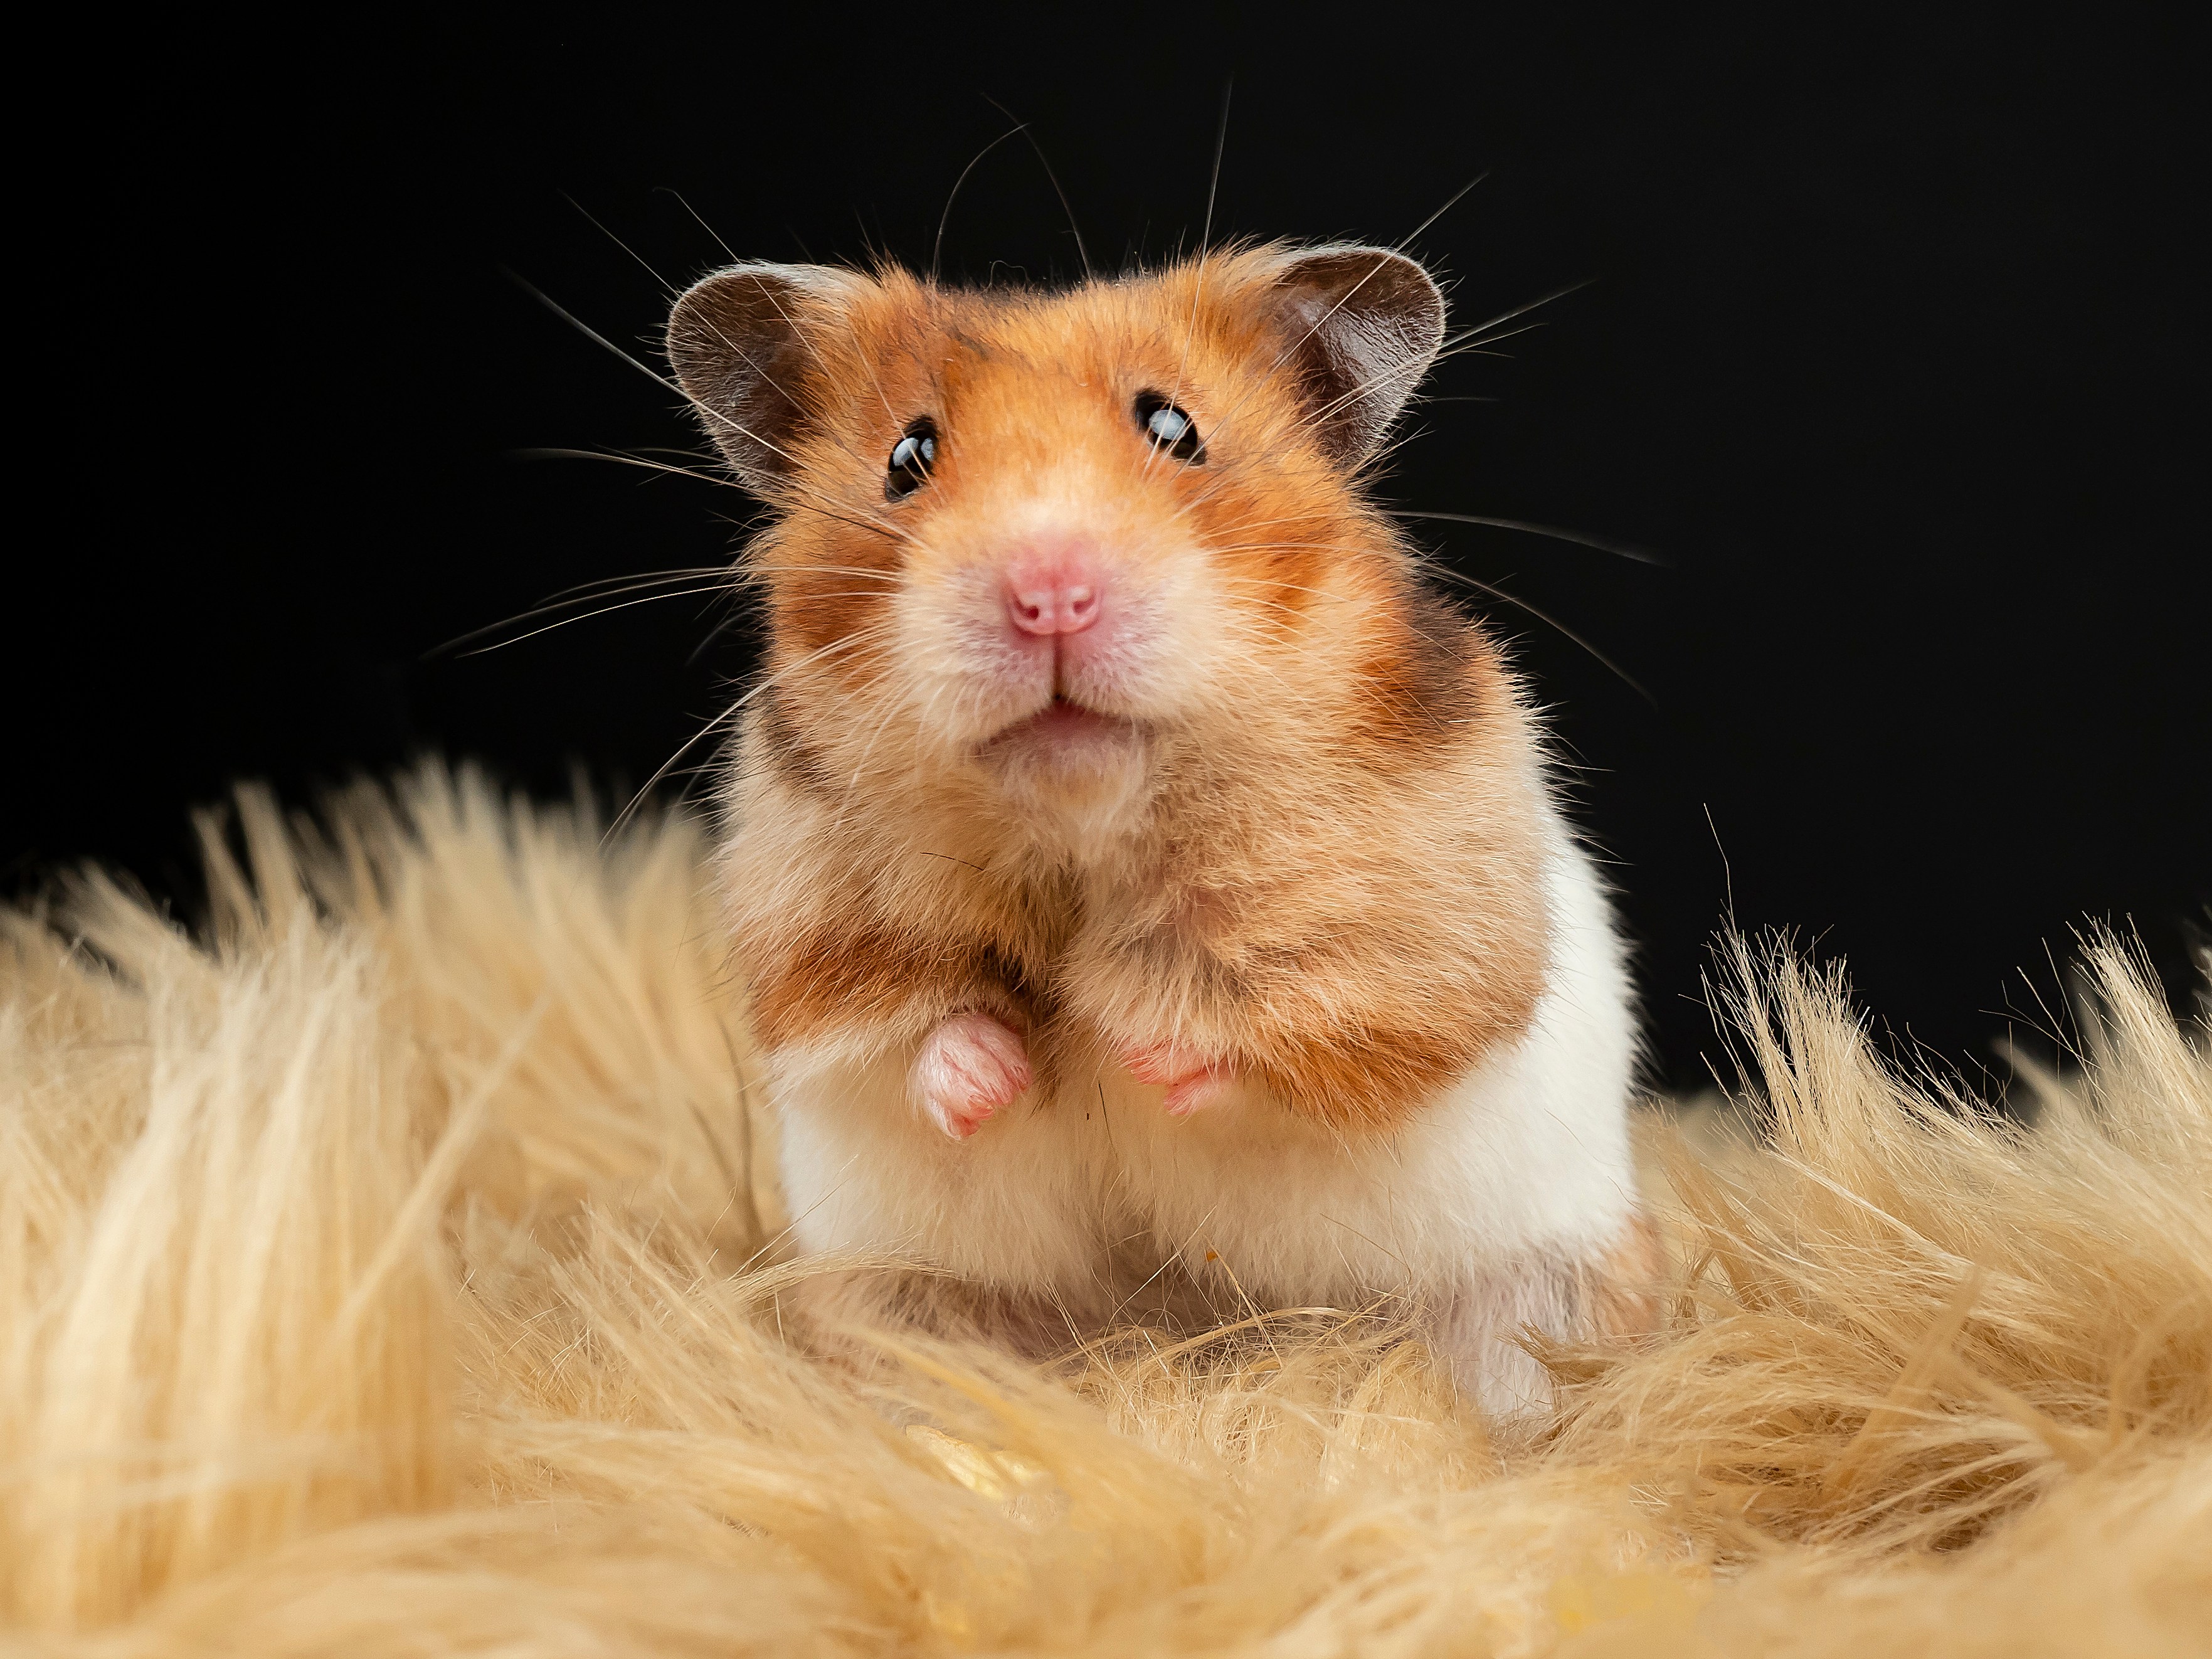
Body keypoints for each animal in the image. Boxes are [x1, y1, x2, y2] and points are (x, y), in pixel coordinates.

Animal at [664, 242, 1655, 1414]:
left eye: (1173, 428)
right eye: (908, 455)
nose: (1048, 595)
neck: (1083, 830)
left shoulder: (1409, 942)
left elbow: (1294, 1037)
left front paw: (1125, 1039)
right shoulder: (811, 925)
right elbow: (911, 1027)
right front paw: (1001, 1071)